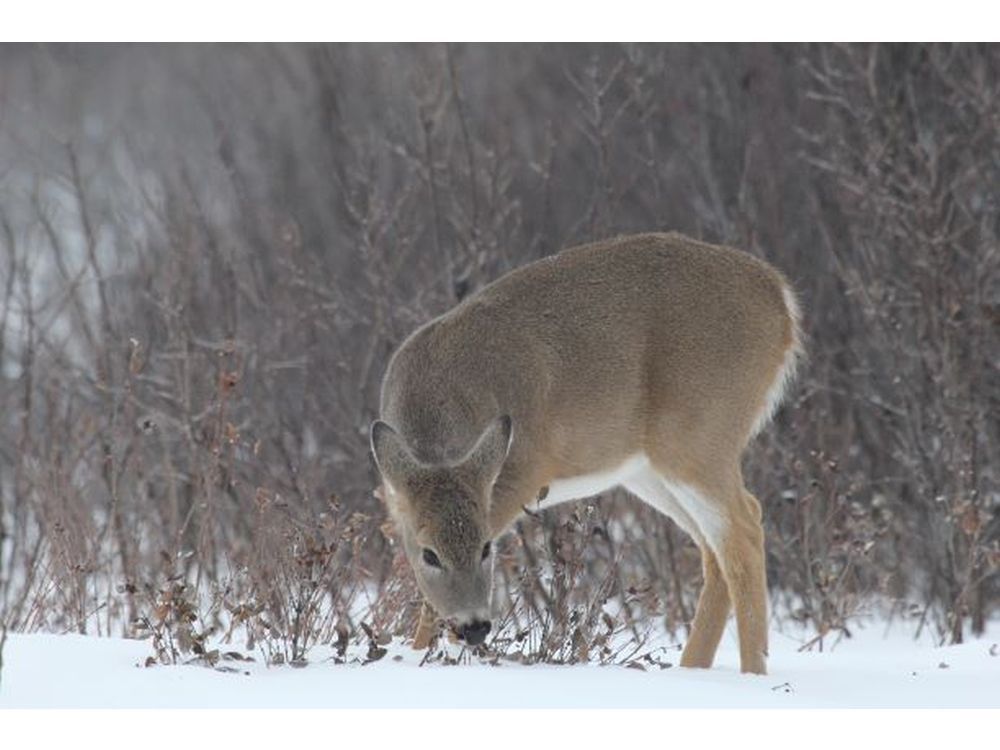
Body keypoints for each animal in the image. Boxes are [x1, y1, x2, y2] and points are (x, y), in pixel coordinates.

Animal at [372, 231, 800, 676]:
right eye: (429, 554)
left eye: (487, 547)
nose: (474, 627)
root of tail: (780, 296)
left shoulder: (522, 472)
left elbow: (426, 604)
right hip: (649, 468)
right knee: (714, 547)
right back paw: (691, 668)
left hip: (699, 434)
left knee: (744, 527)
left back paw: (752, 672)